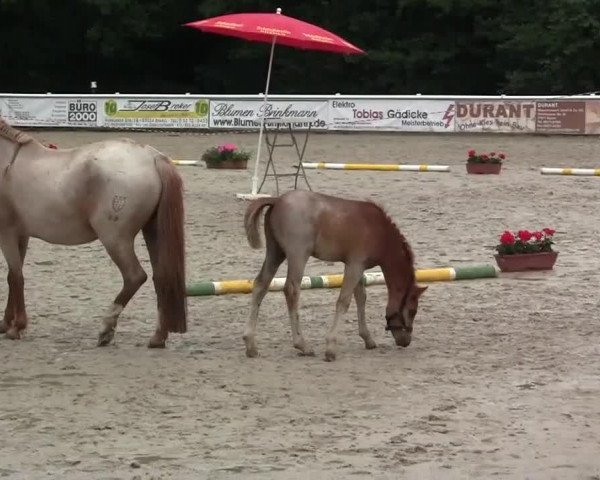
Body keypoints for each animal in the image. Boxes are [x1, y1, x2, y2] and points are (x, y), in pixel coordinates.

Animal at [0, 117, 188, 346]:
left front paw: (16, 327)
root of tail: (151, 156)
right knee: (161, 278)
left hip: (115, 239)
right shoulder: (22, 235)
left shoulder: (7, 233)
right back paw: (158, 337)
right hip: (153, 233)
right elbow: (14, 276)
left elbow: (15, 277)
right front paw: (6, 323)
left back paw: (106, 329)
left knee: (135, 276)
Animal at [243, 189, 426, 362]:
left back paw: (250, 345)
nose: (406, 341)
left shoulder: (357, 266)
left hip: (275, 253)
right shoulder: (355, 265)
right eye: (412, 311)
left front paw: (368, 339)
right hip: (298, 255)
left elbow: (361, 297)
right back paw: (302, 345)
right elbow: (344, 301)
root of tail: (277, 200)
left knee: (260, 284)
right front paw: (330, 349)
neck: (380, 231)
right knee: (291, 290)